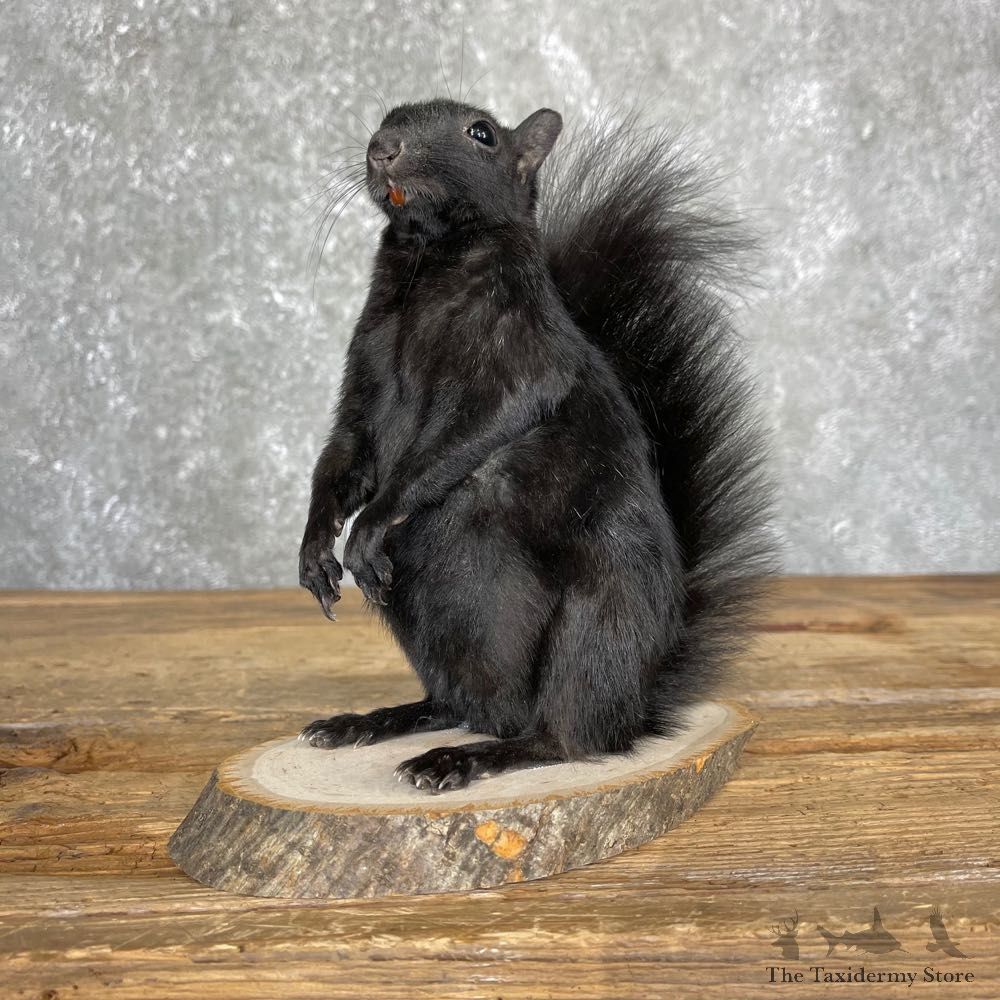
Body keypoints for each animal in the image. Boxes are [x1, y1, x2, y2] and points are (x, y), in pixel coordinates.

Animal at [297, 98, 774, 794]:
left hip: (591, 626)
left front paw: (369, 526)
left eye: (481, 134)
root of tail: (639, 701)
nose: (383, 148)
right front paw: (315, 547)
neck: (430, 260)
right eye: (385, 118)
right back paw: (372, 722)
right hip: (419, 620)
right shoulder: (363, 379)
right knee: (456, 704)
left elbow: (461, 438)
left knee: (563, 738)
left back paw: (465, 758)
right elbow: (344, 454)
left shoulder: (522, 360)